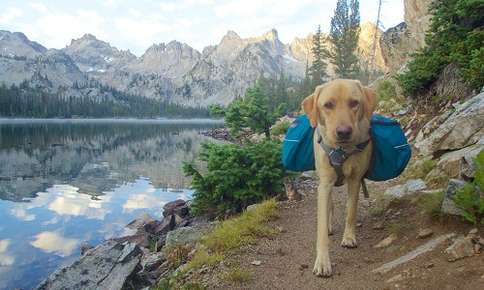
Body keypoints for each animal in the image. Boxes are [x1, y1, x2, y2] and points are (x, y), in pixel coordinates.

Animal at [302, 78, 378, 276]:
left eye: (354, 103)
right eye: (328, 105)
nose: (344, 131)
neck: (341, 150)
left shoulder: (355, 180)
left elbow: (351, 211)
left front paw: (349, 237)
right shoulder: (324, 185)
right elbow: (321, 228)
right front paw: (322, 262)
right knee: (329, 206)